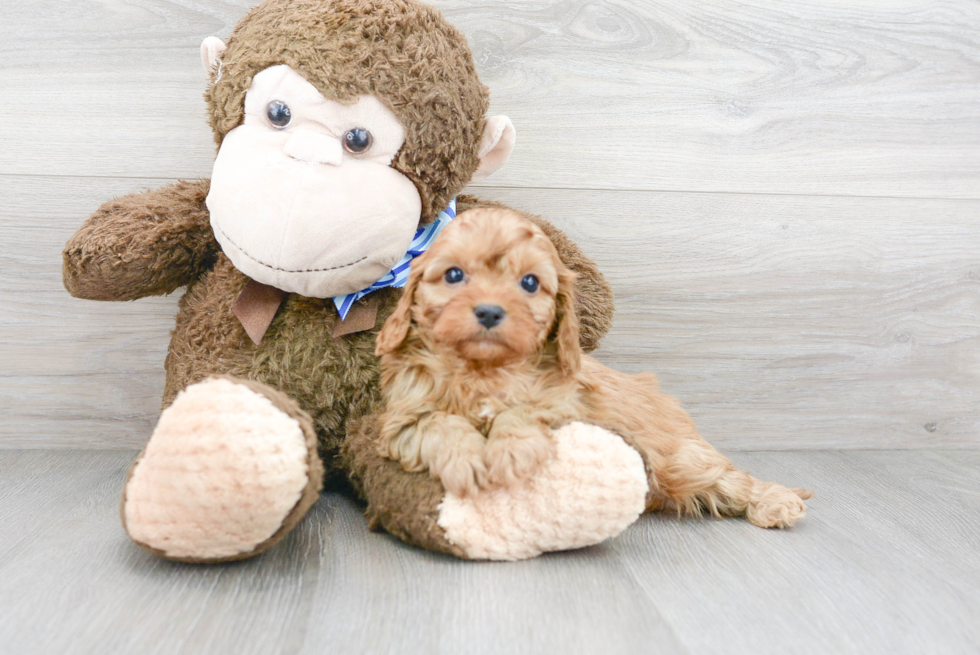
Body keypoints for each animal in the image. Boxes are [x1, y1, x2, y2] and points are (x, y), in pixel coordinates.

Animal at [376, 209, 812, 528]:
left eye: (530, 283)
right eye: (453, 274)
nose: (488, 312)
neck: (482, 368)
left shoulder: (572, 407)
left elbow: (524, 411)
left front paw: (510, 452)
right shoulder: (401, 421)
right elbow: (439, 423)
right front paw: (466, 460)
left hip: (680, 459)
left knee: (730, 477)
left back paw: (776, 502)